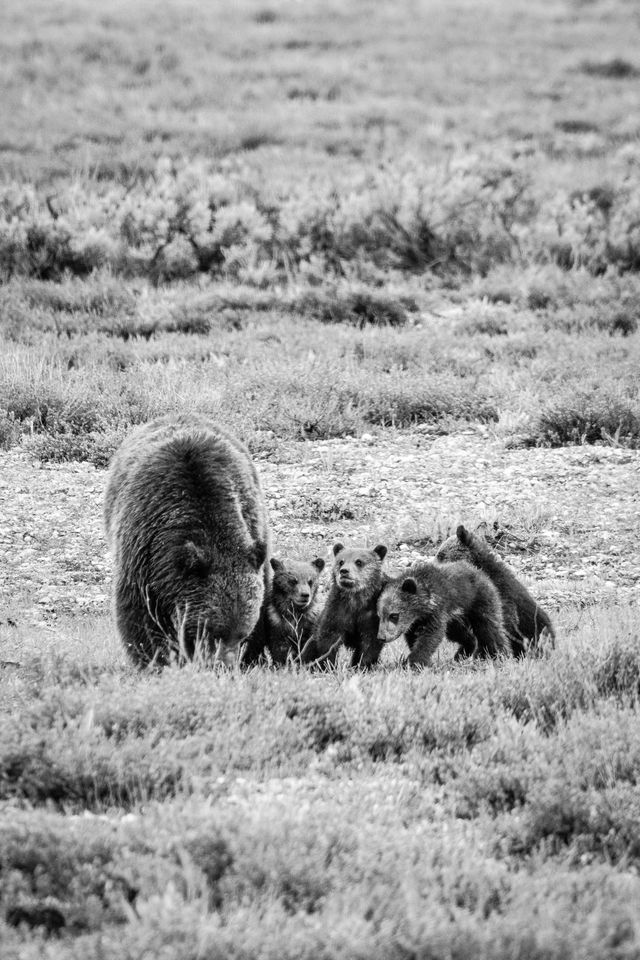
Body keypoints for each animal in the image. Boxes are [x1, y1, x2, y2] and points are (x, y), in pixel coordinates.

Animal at [105, 412, 270, 668]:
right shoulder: (143, 551)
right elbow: (140, 616)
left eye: (242, 634)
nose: (224, 665)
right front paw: (157, 660)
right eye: (214, 631)